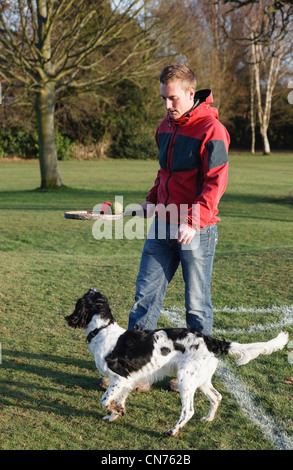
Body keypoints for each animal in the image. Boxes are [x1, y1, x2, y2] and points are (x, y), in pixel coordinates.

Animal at [65, 288, 288, 438]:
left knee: (188, 411)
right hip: (201, 380)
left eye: (84, 298)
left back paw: (172, 431)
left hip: (185, 380)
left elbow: (105, 400)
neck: (102, 331)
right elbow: (118, 401)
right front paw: (115, 415)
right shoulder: (128, 380)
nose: (92, 288)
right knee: (216, 397)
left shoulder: (120, 378)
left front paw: (115, 412)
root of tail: (209, 340)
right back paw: (208, 419)